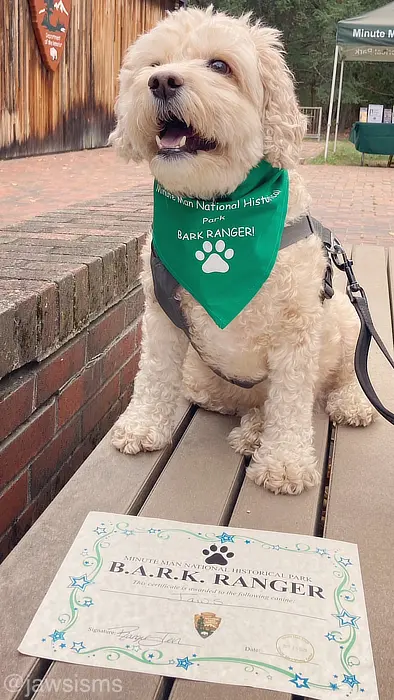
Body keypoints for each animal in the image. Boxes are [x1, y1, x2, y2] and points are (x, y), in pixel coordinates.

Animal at [109, 6, 374, 498]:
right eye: (154, 65)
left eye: (219, 65)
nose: (161, 82)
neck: (218, 205)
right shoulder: (161, 316)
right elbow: (152, 374)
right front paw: (141, 426)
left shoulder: (298, 329)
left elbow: (291, 403)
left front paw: (285, 462)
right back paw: (252, 430)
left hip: (346, 320)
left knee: (341, 377)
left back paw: (346, 405)